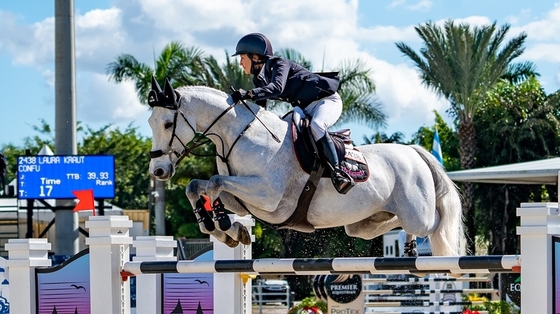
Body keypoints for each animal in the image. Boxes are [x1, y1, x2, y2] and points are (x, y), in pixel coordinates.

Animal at [147, 78, 466, 255]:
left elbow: (214, 183)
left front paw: (224, 225)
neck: (239, 135)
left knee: (436, 225)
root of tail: (413, 152)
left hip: (419, 214)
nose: (158, 171)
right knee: (385, 223)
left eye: (167, 123)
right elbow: (197, 186)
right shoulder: (245, 200)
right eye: (150, 122)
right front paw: (224, 229)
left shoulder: (267, 197)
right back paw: (407, 243)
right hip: (360, 224)